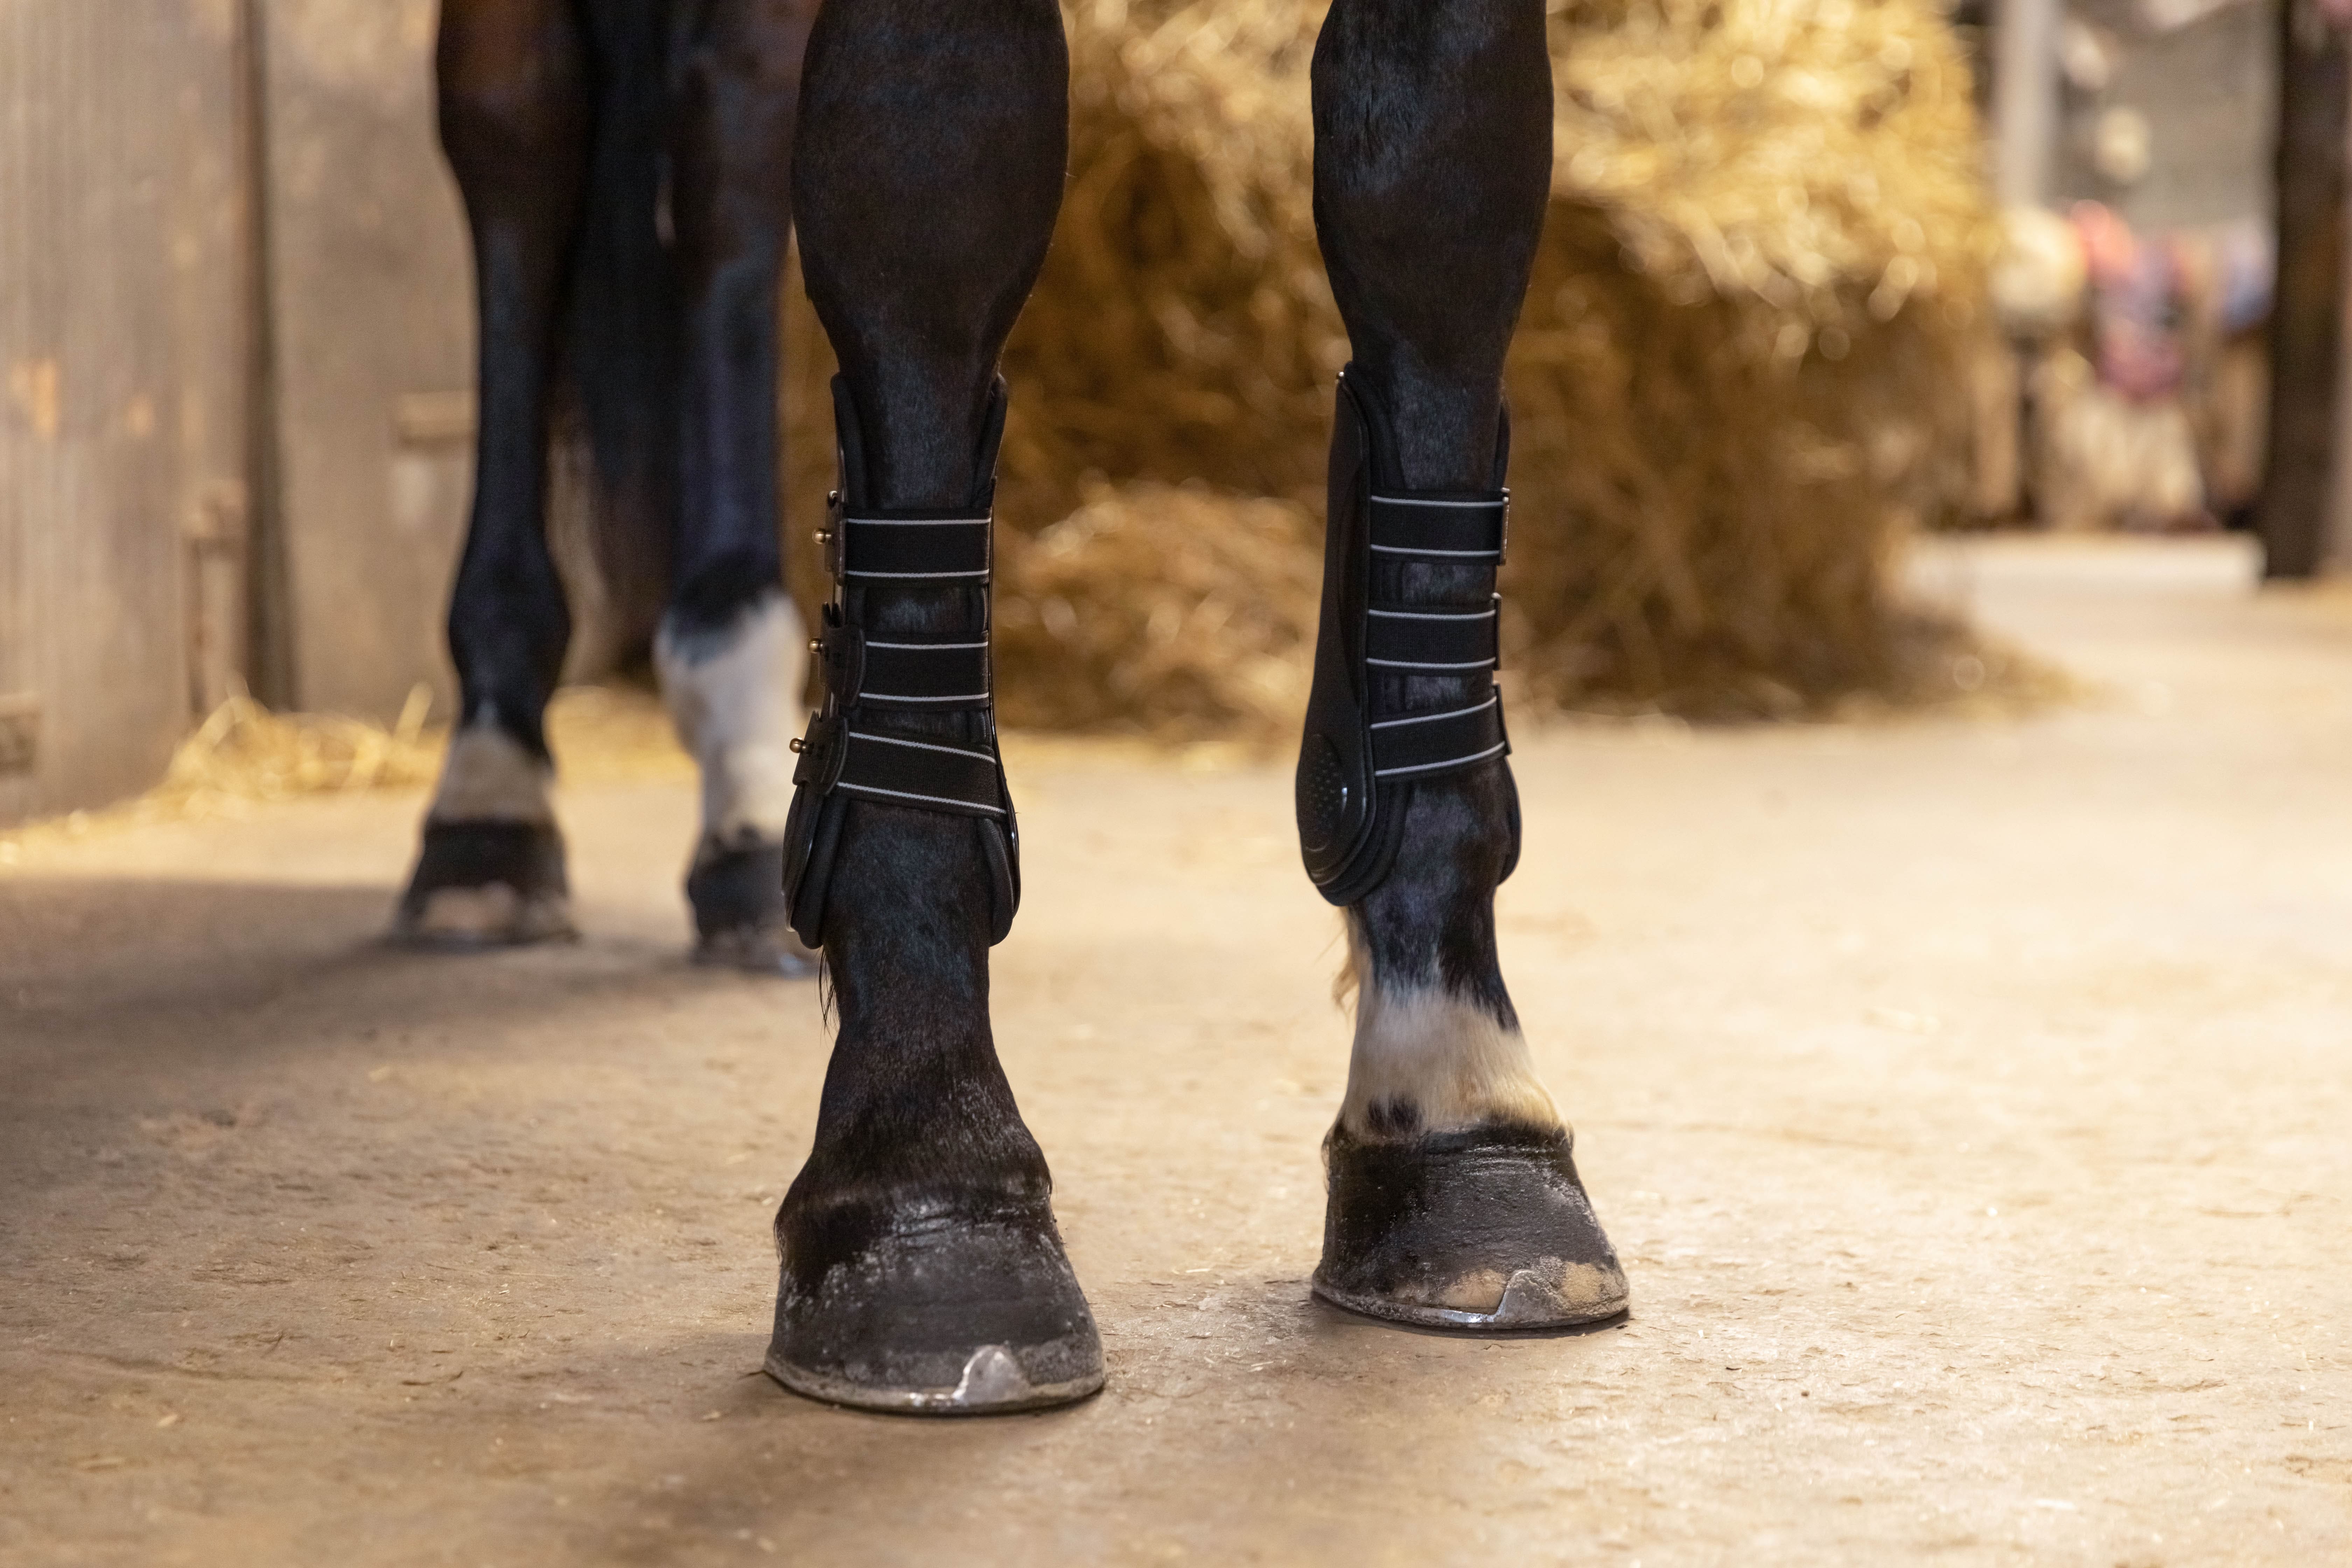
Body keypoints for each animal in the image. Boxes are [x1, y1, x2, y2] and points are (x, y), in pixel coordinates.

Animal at [420, 0, 1627, 1416]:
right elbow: (930, 201)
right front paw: (928, 1176)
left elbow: (1433, 213)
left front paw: (1457, 1107)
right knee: (517, 129)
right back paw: (490, 808)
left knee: (726, 151)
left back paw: (733, 795)